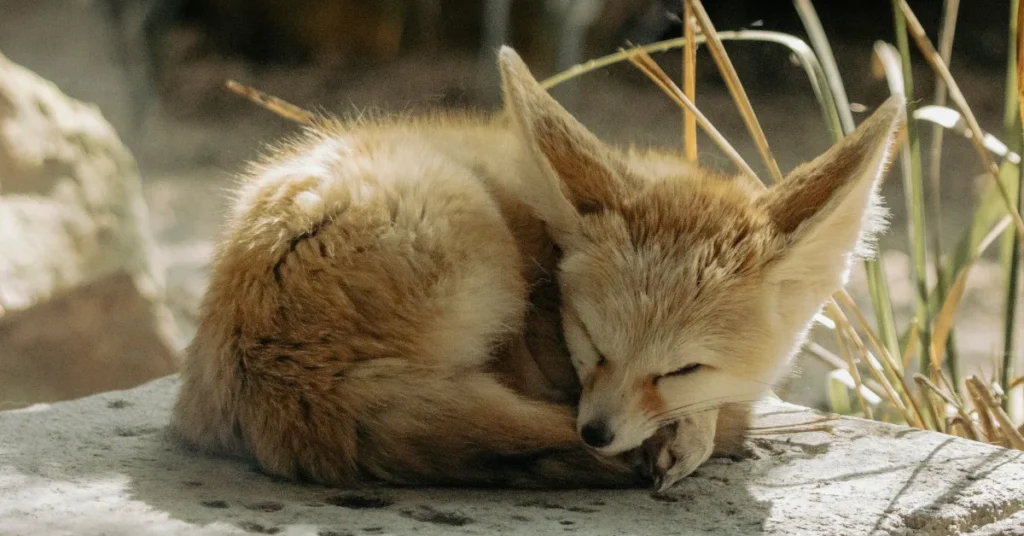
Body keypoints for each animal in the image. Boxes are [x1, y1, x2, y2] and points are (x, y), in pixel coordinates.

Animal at [172, 46, 904, 491]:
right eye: (593, 345)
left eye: (681, 368)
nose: (595, 434)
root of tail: (285, 370)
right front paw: (689, 437)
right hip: (479, 243)